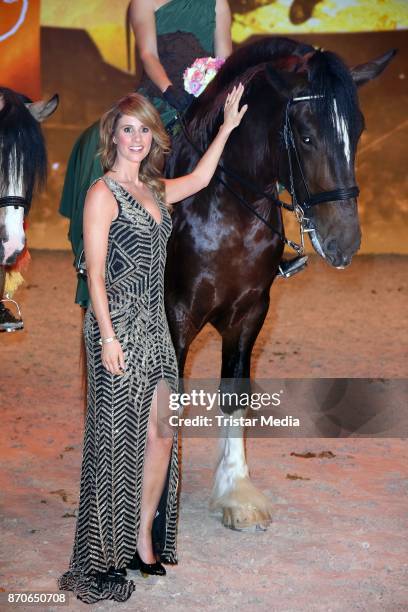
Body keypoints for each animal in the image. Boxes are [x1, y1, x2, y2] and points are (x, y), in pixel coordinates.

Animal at [163, 35, 396, 528]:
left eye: (358, 133)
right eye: (306, 136)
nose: (345, 242)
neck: (225, 207)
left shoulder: (250, 313)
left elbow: (234, 394)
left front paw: (236, 492)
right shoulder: (176, 313)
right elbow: (167, 398)